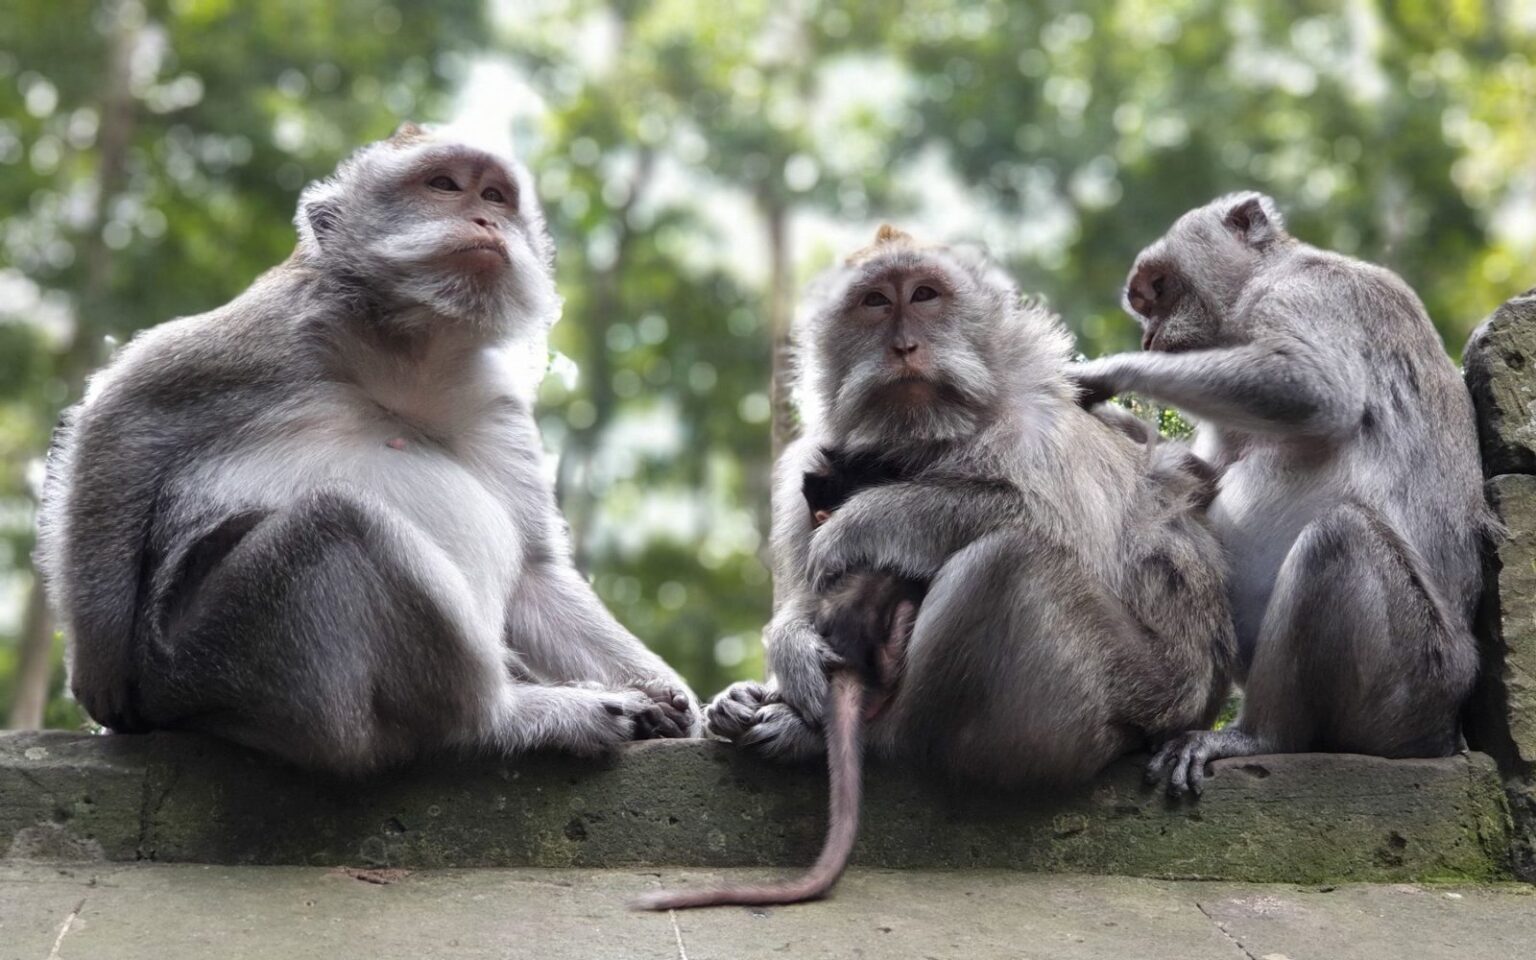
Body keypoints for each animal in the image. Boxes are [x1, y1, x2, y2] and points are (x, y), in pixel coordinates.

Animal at [34, 123, 697, 776]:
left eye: (494, 196)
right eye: (444, 185)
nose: (485, 220)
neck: (410, 351)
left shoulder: (496, 401)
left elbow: (536, 573)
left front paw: (671, 694)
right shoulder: (275, 327)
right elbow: (124, 414)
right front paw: (101, 676)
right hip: (225, 662)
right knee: (340, 521)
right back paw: (503, 717)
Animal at [635, 226, 1235, 910]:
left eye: (924, 295)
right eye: (875, 302)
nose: (904, 345)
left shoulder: (1040, 429)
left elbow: (1062, 525)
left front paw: (865, 522)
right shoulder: (803, 469)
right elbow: (806, 594)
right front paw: (791, 647)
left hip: (1124, 702)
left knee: (1007, 562)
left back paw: (863, 738)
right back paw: (751, 704)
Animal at [1072, 192, 1494, 796]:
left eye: (1159, 287)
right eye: (1142, 301)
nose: (1148, 338)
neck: (1262, 277)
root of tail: (1444, 731)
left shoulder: (1310, 293)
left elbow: (1316, 390)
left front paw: (1110, 373)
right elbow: (1203, 478)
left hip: (1415, 682)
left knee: (1340, 538)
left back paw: (1258, 737)